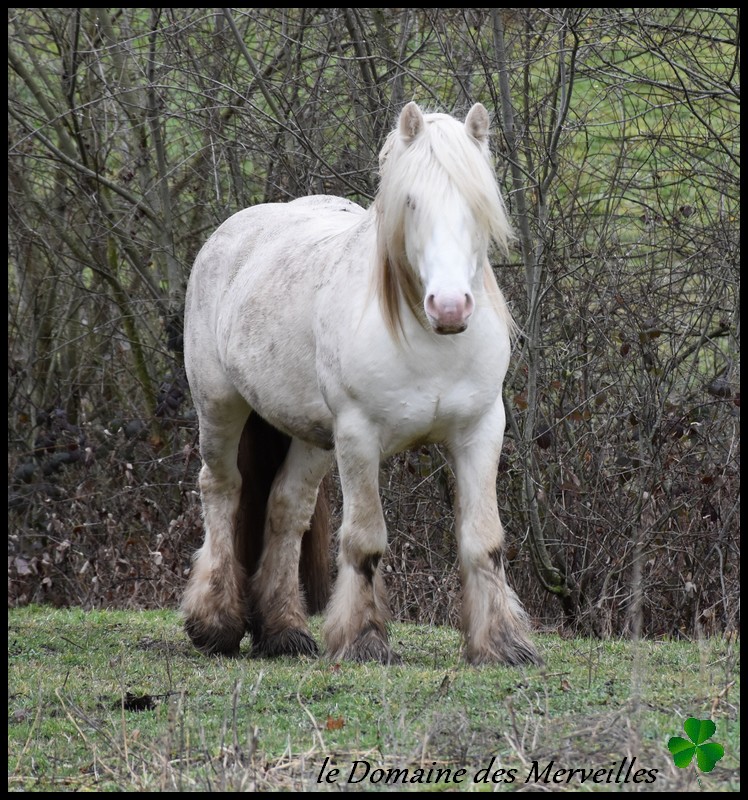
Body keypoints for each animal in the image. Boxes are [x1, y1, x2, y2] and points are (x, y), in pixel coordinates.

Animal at [184, 103, 540, 664]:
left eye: (478, 203)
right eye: (411, 202)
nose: (450, 306)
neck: (429, 342)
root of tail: (233, 229)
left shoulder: (481, 431)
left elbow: (484, 540)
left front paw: (502, 644)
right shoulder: (358, 436)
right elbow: (365, 540)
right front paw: (363, 639)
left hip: (311, 436)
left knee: (286, 509)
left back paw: (283, 631)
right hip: (220, 407)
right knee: (222, 490)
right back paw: (214, 622)